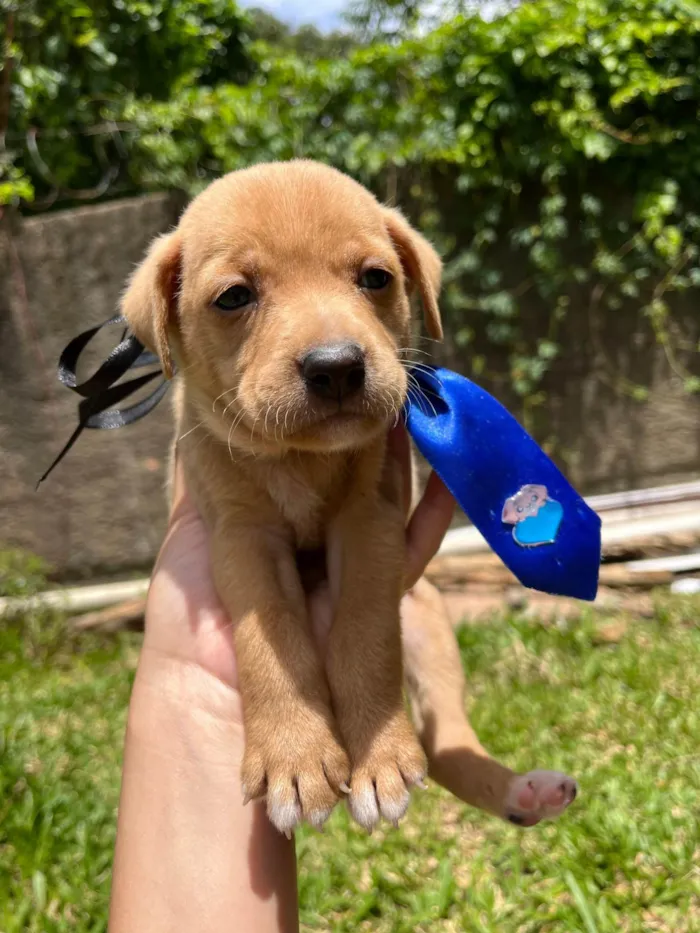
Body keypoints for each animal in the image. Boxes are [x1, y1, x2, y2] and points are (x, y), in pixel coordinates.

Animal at [123, 158, 576, 832]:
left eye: (376, 278)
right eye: (234, 296)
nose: (336, 366)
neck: (301, 460)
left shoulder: (369, 523)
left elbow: (363, 632)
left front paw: (378, 757)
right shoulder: (241, 537)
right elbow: (272, 639)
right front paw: (295, 755)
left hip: (429, 620)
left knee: (442, 740)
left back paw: (521, 791)